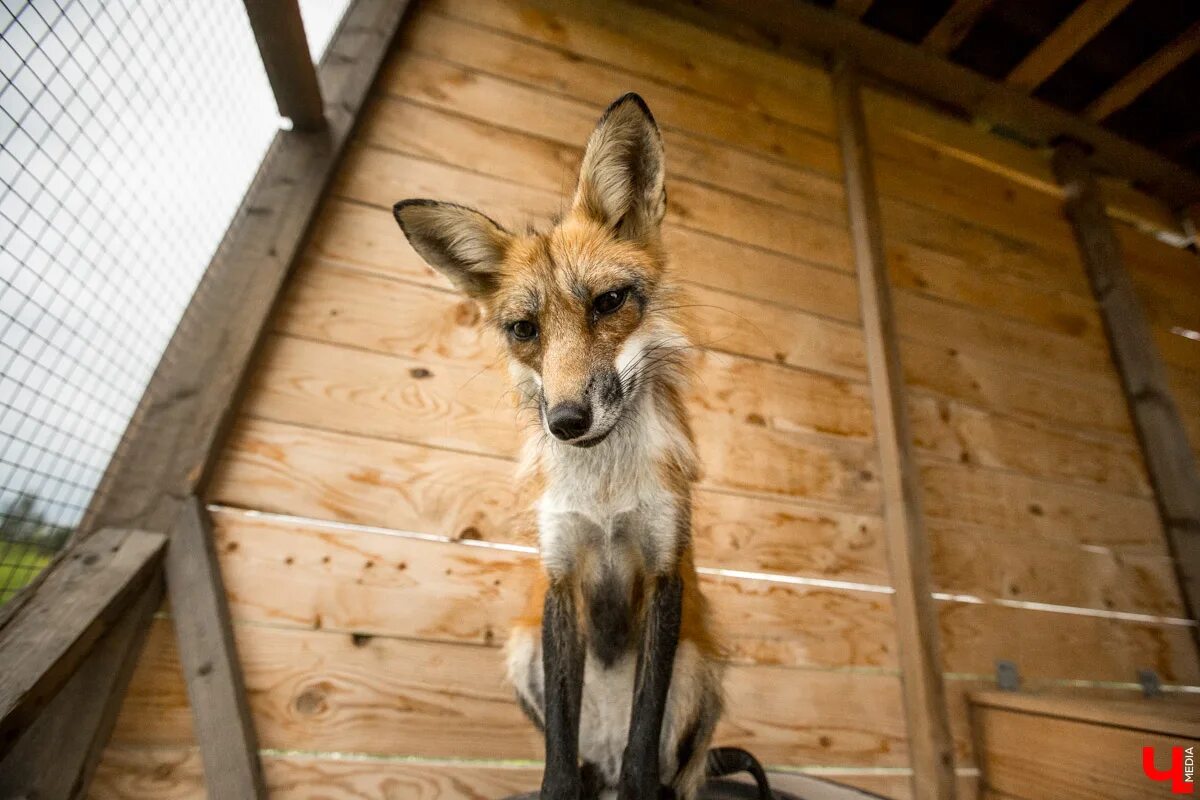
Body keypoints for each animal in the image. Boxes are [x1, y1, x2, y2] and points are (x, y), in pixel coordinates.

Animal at [393, 95, 768, 800]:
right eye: (524, 330)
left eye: (609, 302)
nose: (566, 420)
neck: (604, 494)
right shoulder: (559, 576)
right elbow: (560, 753)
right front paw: (561, 786)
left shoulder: (664, 570)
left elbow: (643, 736)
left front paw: (639, 784)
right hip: (520, 650)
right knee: (587, 758)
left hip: (700, 667)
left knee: (668, 766)